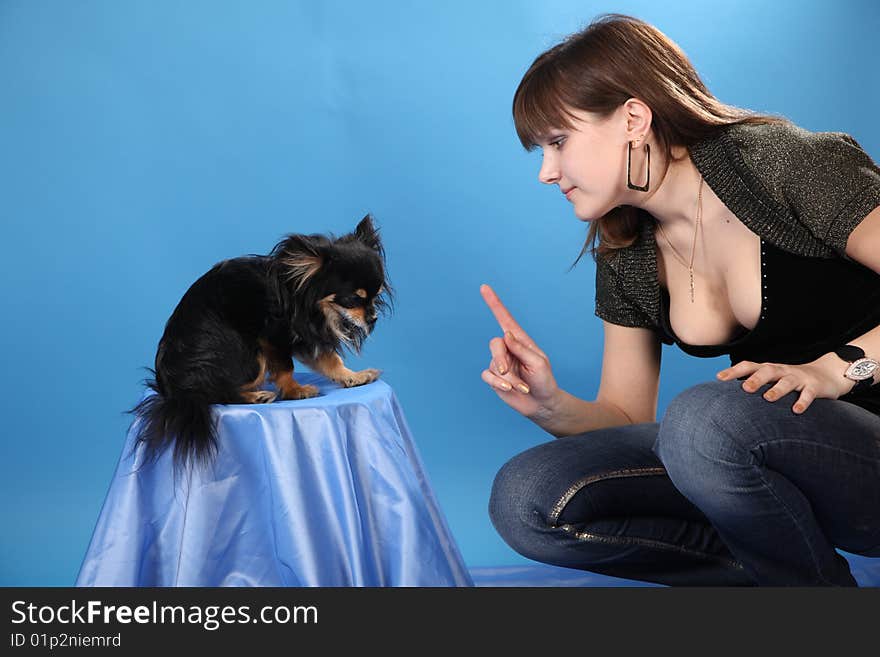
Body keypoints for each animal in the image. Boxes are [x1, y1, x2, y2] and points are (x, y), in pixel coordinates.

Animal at [131, 215, 392, 466]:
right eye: (353, 299)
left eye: (376, 296)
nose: (373, 317)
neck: (299, 290)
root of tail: (175, 391)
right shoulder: (272, 337)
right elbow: (286, 367)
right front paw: (295, 390)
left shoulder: (303, 337)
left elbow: (330, 360)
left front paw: (352, 376)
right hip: (247, 351)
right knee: (214, 394)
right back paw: (254, 396)